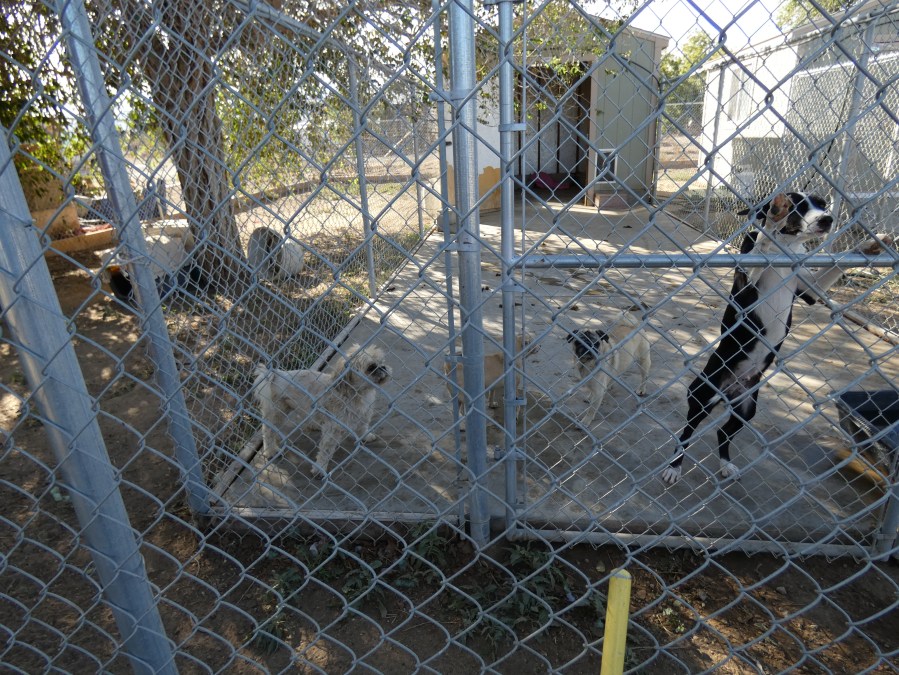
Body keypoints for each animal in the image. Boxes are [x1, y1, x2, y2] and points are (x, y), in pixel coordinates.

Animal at [255, 346, 392, 478]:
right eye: (371, 367)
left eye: (382, 362)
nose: (384, 367)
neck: (353, 393)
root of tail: (277, 374)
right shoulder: (332, 430)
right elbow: (325, 451)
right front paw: (320, 468)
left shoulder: (364, 415)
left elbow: (363, 427)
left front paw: (366, 436)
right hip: (277, 412)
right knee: (268, 430)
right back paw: (270, 450)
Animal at [656, 194, 896, 486]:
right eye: (798, 206)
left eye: (821, 203)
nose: (827, 219)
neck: (786, 249)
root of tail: (730, 390)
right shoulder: (746, 279)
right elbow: (760, 245)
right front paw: (773, 218)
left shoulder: (810, 289)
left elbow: (835, 266)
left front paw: (872, 244)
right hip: (703, 396)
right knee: (686, 433)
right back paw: (674, 467)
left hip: (746, 409)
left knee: (723, 433)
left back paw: (726, 465)